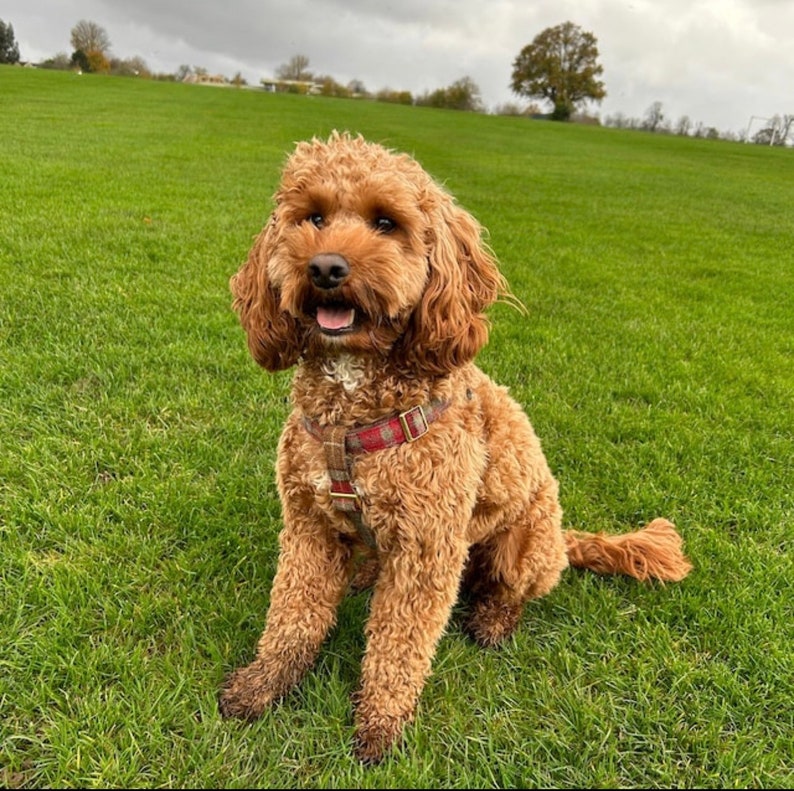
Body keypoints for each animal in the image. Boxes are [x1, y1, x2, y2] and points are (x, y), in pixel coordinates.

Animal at [217, 133, 688, 764]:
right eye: (312, 217)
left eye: (386, 222)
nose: (326, 267)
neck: (356, 400)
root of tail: (565, 538)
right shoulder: (309, 525)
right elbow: (293, 614)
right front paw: (264, 683)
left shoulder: (428, 546)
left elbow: (398, 646)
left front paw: (380, 726)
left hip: (521, 545)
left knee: (516, 590)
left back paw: (493, 619)